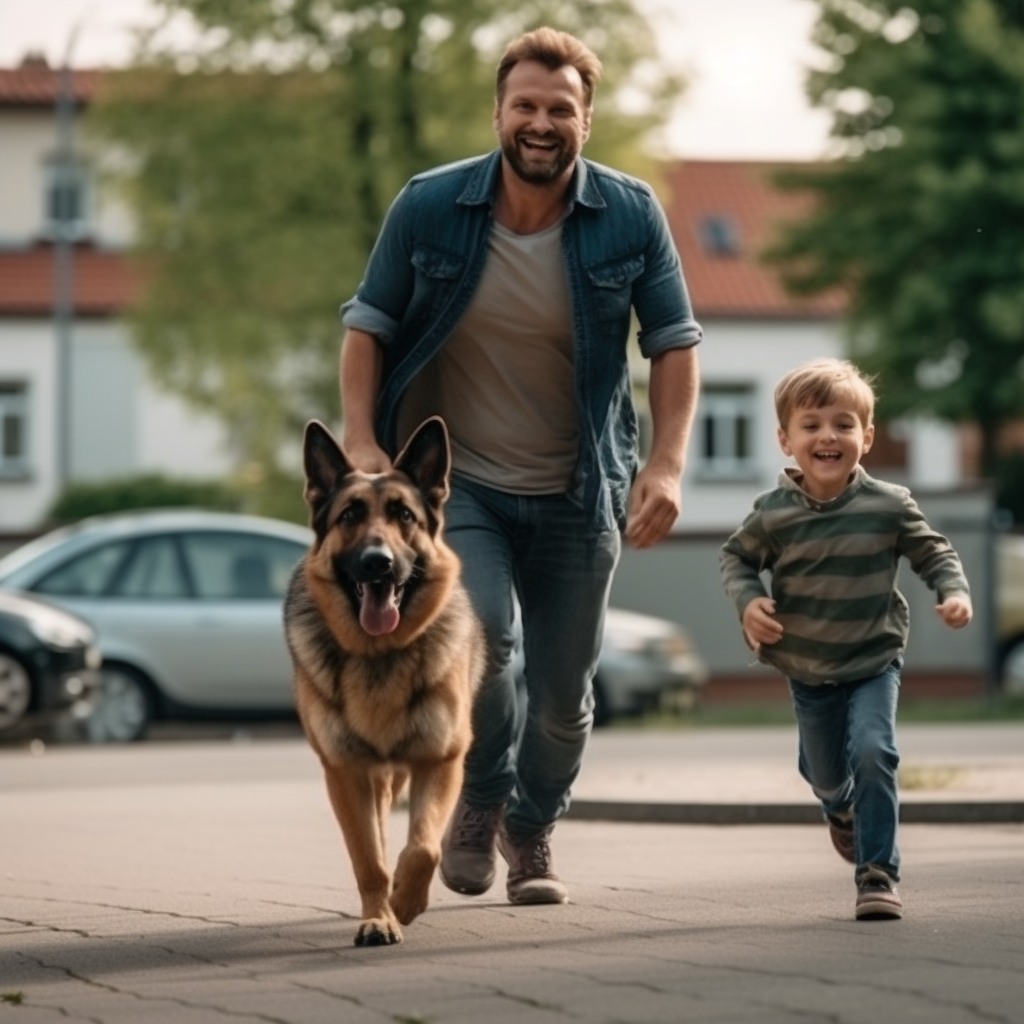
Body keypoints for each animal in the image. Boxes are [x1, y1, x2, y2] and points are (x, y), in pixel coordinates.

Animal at [284, 413, 483, 942]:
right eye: (350, 515)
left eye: (404, 516)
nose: (378, 563)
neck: (380, 654)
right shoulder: (347, 773)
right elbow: (368, 858)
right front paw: (379, 916)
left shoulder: (440, 761)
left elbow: (425, 847)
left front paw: (406, 901)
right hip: (374, 778)